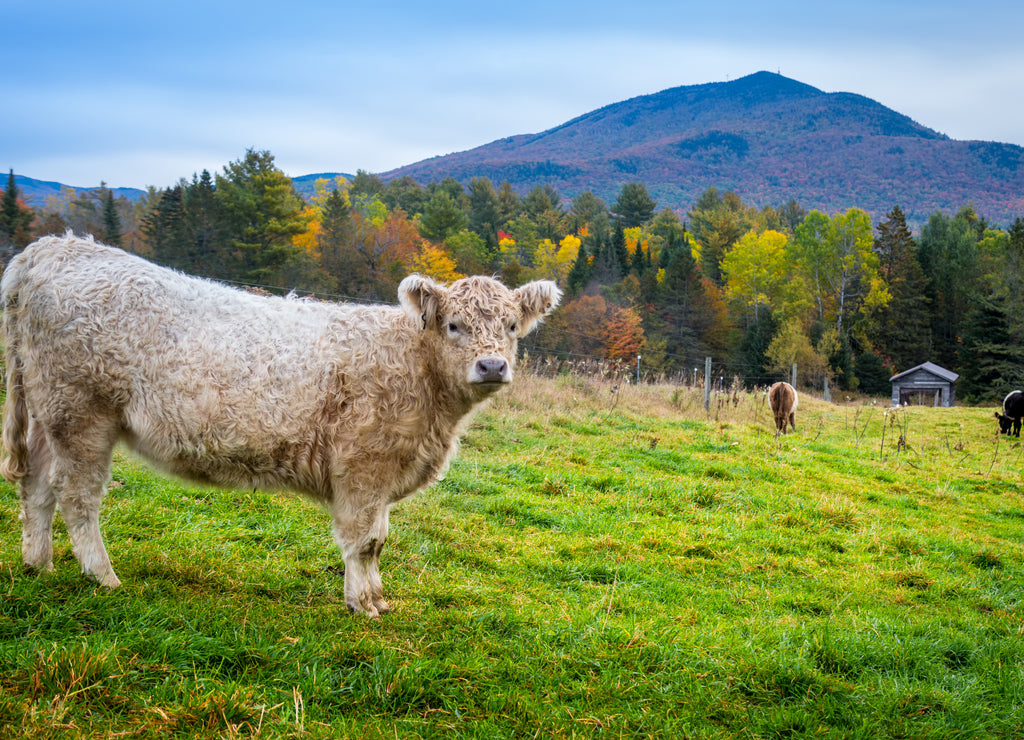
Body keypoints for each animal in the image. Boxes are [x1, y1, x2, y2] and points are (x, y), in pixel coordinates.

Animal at [0, 233, 561, 616]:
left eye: (512, 326)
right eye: (453, 325)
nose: (492, 365)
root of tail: (56, 247)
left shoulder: (382, 475)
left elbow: (380, 539)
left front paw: (378, 597)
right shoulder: (363, 468)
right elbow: (364, 541)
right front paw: (362, 605)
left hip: (48, 414)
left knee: (37, 487)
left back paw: (38, 563)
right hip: (81, 415)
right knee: (77, 497)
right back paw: (103, 576)